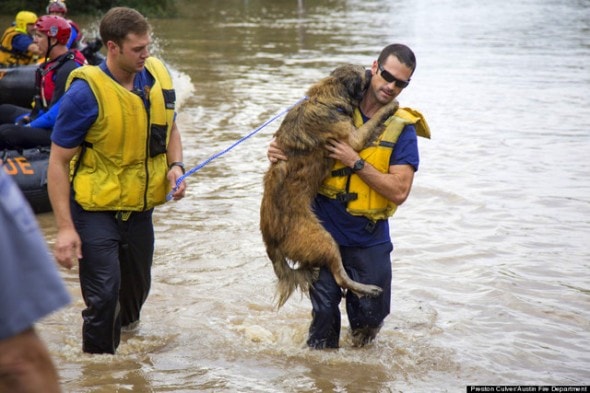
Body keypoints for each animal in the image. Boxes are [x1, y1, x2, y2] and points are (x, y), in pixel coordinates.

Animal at [262, 63, 400, 306]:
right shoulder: (352, 138)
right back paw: (368, 289)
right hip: (324, 240)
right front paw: (390, 107)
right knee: (340, 276)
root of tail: (271, 242)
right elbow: (373, 121)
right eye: (364, 72)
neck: (326, 97)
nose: (370, 69)